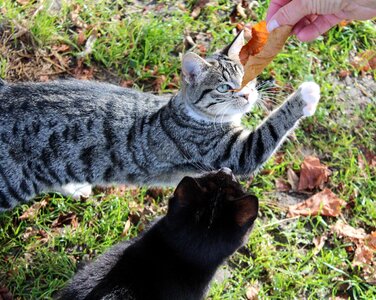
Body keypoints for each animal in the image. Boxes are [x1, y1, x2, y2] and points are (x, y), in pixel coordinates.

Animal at [0, 31, 320, 211]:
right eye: (223, 87)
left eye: (247, 78)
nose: (248, 94)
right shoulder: (231, 153)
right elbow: (267, 133)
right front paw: (305, 95)